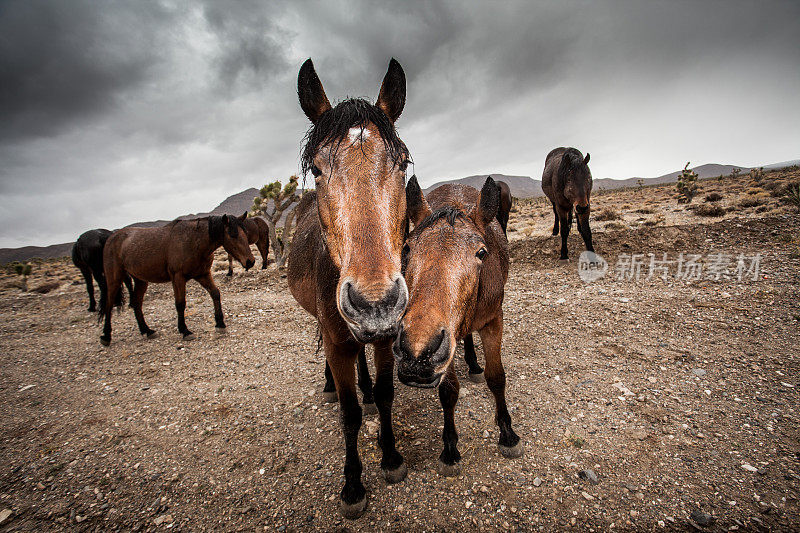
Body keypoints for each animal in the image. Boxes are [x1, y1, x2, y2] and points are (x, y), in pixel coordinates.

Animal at [98, 214, 253, 348]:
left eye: (246, 232)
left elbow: (215, 293)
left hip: (141, 280)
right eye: (233, 235)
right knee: (109, 304)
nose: (250, 261)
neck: (193, 241)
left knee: (137, 304)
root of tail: (111, 238)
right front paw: (185, 330)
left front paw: (220, 324)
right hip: (114, 279)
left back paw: (147, 331)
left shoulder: (203, 274)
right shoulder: (178, 277)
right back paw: (106, 336)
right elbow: (180, 303)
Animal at [288, 59, 410, 520]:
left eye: (403, 164)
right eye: (318, 170)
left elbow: (387, 394)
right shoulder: (339, 343)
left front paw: (391, 458)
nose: (374, 303)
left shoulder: (387, 337)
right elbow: (349, 414)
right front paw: (354, 486)